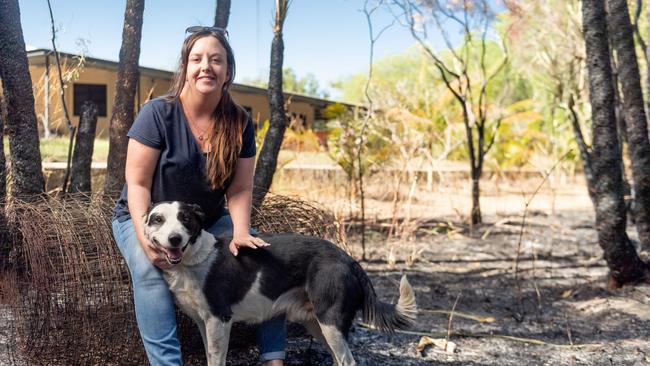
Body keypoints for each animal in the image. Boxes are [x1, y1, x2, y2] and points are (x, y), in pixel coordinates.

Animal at [142, 202, 416, 366]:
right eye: (158, 219)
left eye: (185, 219)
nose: (175, 239)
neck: (194, 258)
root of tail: (349, 259)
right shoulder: (203, 322)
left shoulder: (219, 320)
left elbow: (217, 359)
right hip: (317, 323)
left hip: (330, 321)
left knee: (347, 361)